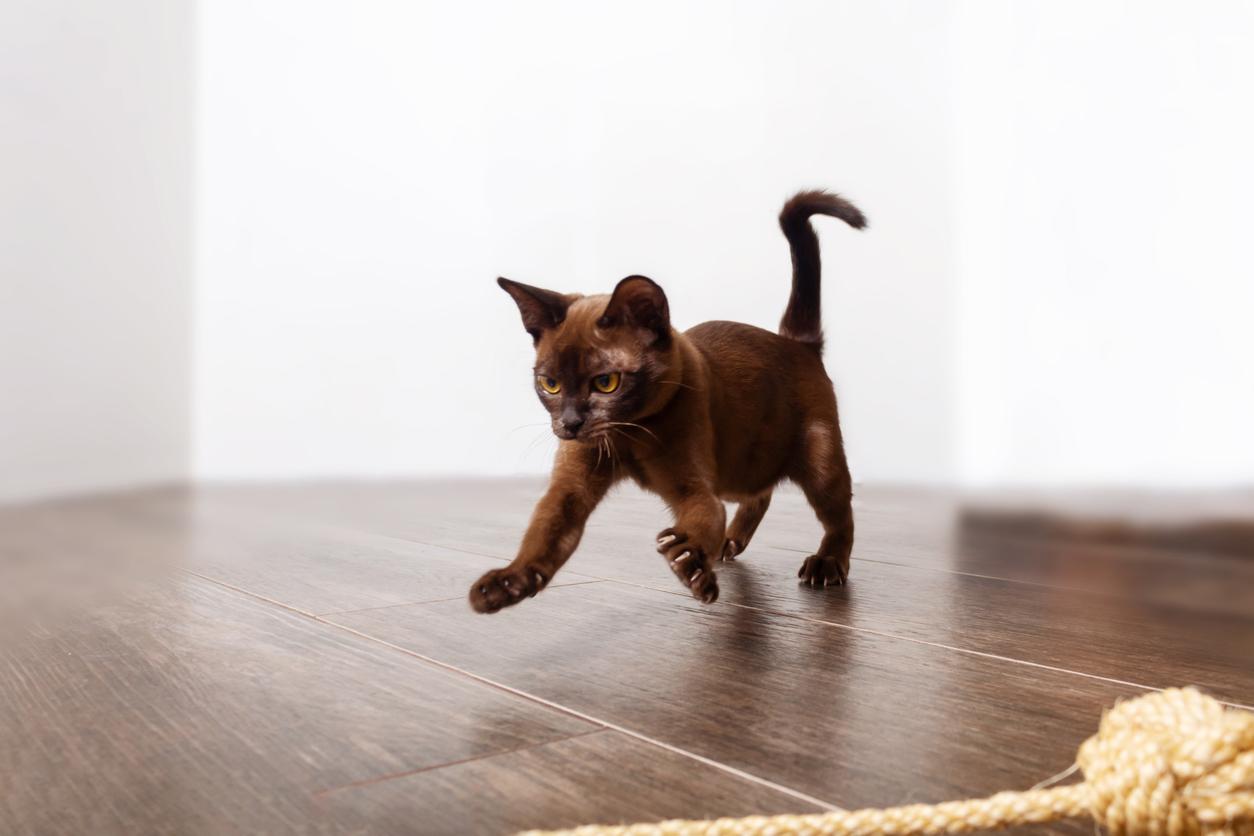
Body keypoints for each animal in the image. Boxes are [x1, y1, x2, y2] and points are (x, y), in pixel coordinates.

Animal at [466, 194, 867, 614]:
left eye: (606, 383)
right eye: (551, 384)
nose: (571, 424)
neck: (627, 437)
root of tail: (796, 341)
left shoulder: (693, 489)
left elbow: (704, 519)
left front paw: (690, 563)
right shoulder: (570, 491)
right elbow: (544, 534)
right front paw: (506, 584)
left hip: (819, 462)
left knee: (840, 516)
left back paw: (826, 565)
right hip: (741, 466)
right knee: (759, 495)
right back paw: (731, 543)